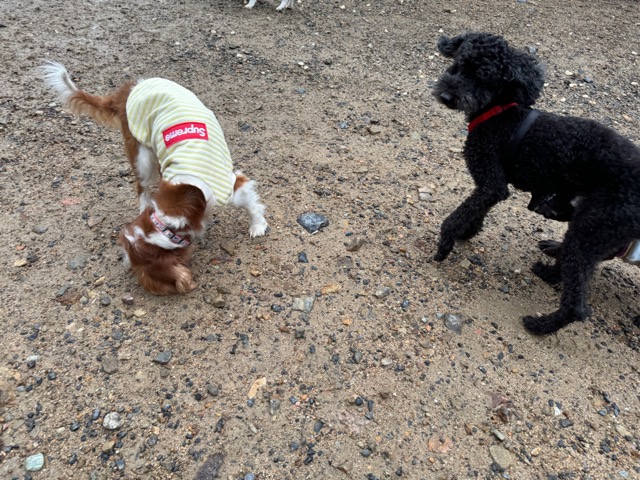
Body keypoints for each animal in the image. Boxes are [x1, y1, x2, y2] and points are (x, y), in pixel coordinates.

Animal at [43, 62, 268, 295]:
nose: (124, 261)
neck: (179, 205)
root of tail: (129, 88)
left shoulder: (231, 187)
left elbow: (251, 204)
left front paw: (257, 226)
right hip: (142, 153)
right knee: (141, 186)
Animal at [432, 32, 640, 335]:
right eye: (459, 64)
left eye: (483, 77)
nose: (447, 95)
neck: (499, 112)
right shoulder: (492, 188)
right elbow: (476, 210)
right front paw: (468, 232)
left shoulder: (491, 181)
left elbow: (458, 215)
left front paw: (446, 242)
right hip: (597, 228)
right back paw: (550, 270)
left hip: (595, 224)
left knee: (577, 305)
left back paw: (540, 324)